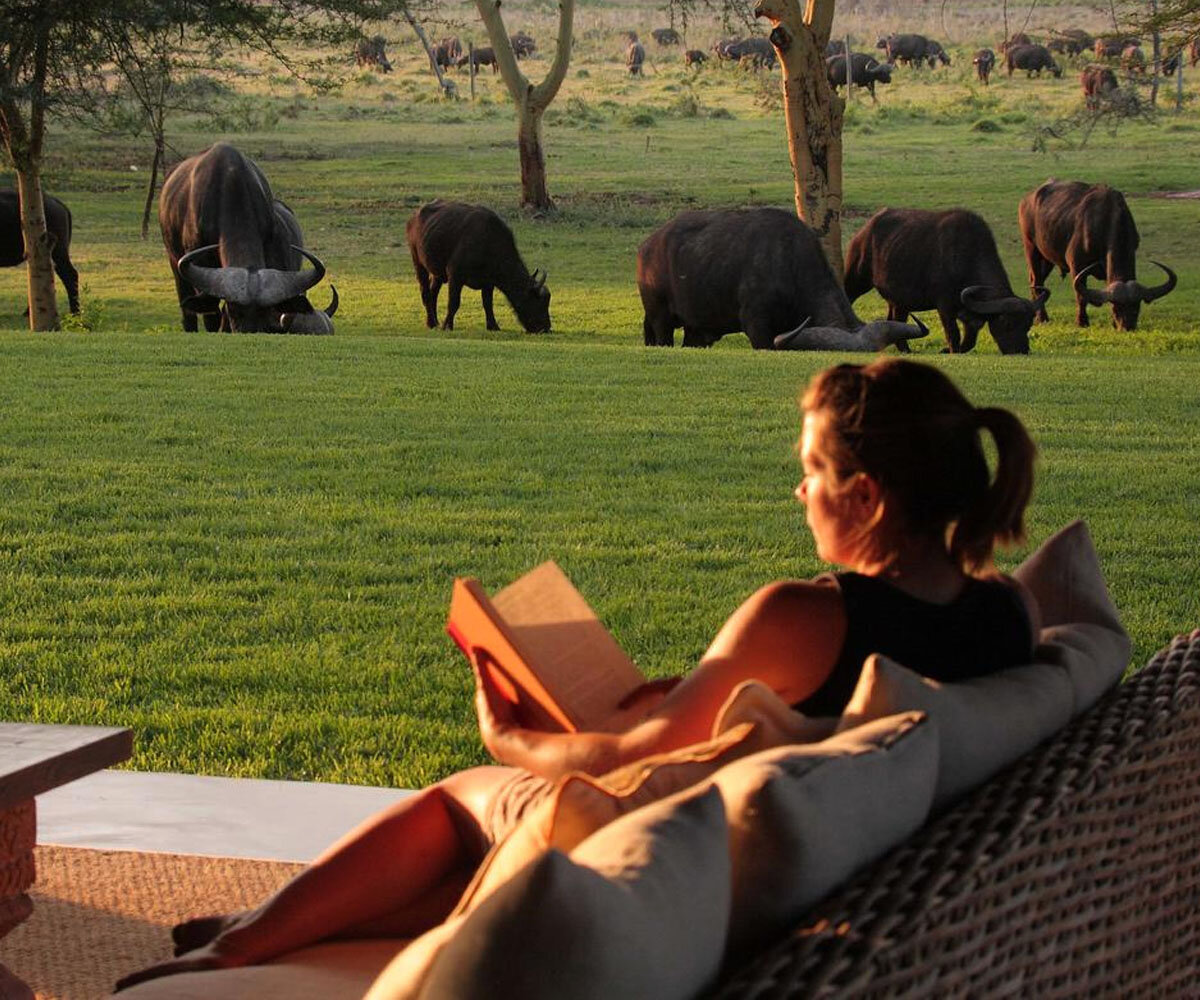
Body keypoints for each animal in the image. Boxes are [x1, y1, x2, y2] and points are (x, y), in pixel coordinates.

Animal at [159, 144, 338, 333]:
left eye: (266, 310)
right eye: (234, 310)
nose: (250, 331)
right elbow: (212, 316)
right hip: (174, 261)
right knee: (188, 309)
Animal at [405, 199, 549, 331]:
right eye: (537, 301)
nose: (546, 328)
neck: (488, 243)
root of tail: (413, 218)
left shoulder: (488, 282)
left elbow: (487, 303)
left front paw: (493, 326)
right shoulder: (455, 275)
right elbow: (454, 302)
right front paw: (447, 325)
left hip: (438, 273)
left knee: (433, 292)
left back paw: (435, 322)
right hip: (418, 262)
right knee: (425, 292)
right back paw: (431, 322)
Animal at [844, 206, 1041, 355]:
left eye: (1028, 325)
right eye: (1007, 323)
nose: (1021, 351)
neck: (966, 259)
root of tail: (864, 231)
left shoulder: (970, 317)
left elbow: (969, 342)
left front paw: (947, 350)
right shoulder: (945, 305)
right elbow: (953, 333)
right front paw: (951, 350)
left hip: (899, 300)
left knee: (895, 319)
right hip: (857, 278)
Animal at [1017, 180, 1176, 331]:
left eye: (1137, 307)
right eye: (1116, 307)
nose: (1127, 327)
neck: (1106, 220)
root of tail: (1026, 199)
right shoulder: (1076, 264)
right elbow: (1081, 295)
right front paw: (1082, 322)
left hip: (1047, 258)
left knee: (1036, 282)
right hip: (1031, 249)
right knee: (1036, 282)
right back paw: (1042, 318)